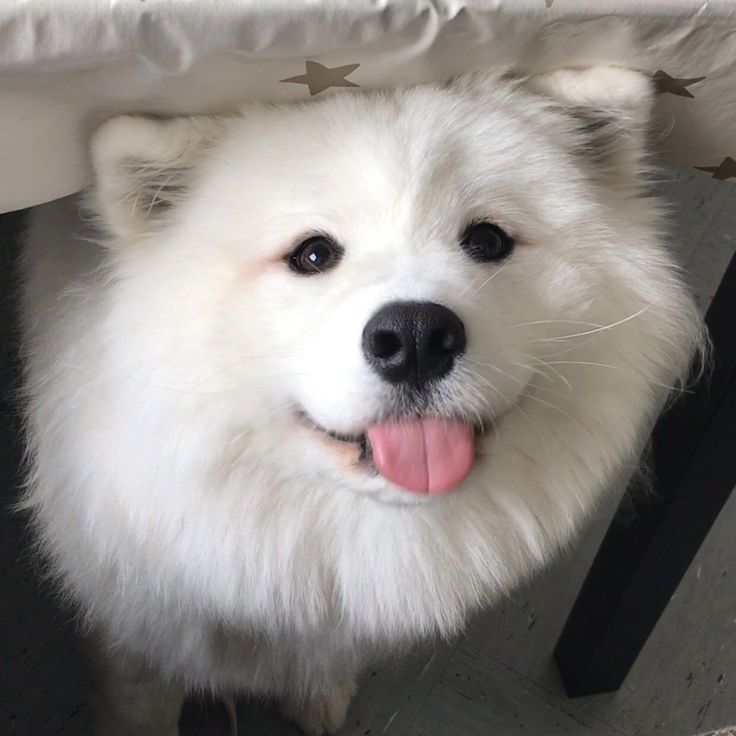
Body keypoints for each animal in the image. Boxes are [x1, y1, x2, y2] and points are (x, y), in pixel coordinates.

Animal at [20, 66, 700, 732]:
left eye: (487, 241)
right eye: (312, 254)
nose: (417, 337)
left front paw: (318, 697)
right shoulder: (137, 633)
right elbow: (143, 701)